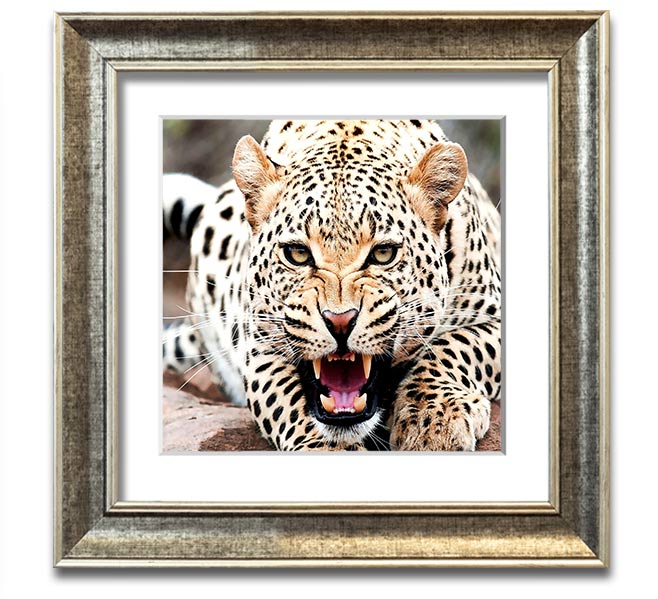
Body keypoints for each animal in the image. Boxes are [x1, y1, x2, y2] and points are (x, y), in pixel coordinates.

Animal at [163, 119, 501, 451]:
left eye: (384, 253)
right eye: (297, 254)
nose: (340, 322)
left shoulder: (493, 316)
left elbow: (455, 347)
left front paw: (433, 418)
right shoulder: (259, 346)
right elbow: (288, 403)